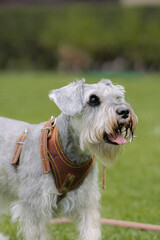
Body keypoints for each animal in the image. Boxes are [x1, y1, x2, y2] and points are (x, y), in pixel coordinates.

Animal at [0, 79, 138, 240]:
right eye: (93, 99)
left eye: (117, 97)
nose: (124, 111)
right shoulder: (35, 207)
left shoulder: (86, 203)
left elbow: (90, 231)